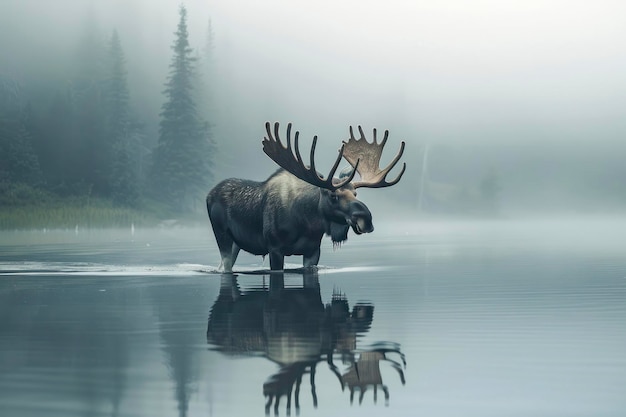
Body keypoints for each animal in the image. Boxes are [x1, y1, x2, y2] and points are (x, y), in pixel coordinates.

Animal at [207, 121, 408, 270]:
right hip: (222, 236)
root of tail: (209, 194)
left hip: (236, 243)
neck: (308, 223)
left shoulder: (313, 252)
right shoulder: (274, 248)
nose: (366, 218)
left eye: (355, 193)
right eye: (333, 196)